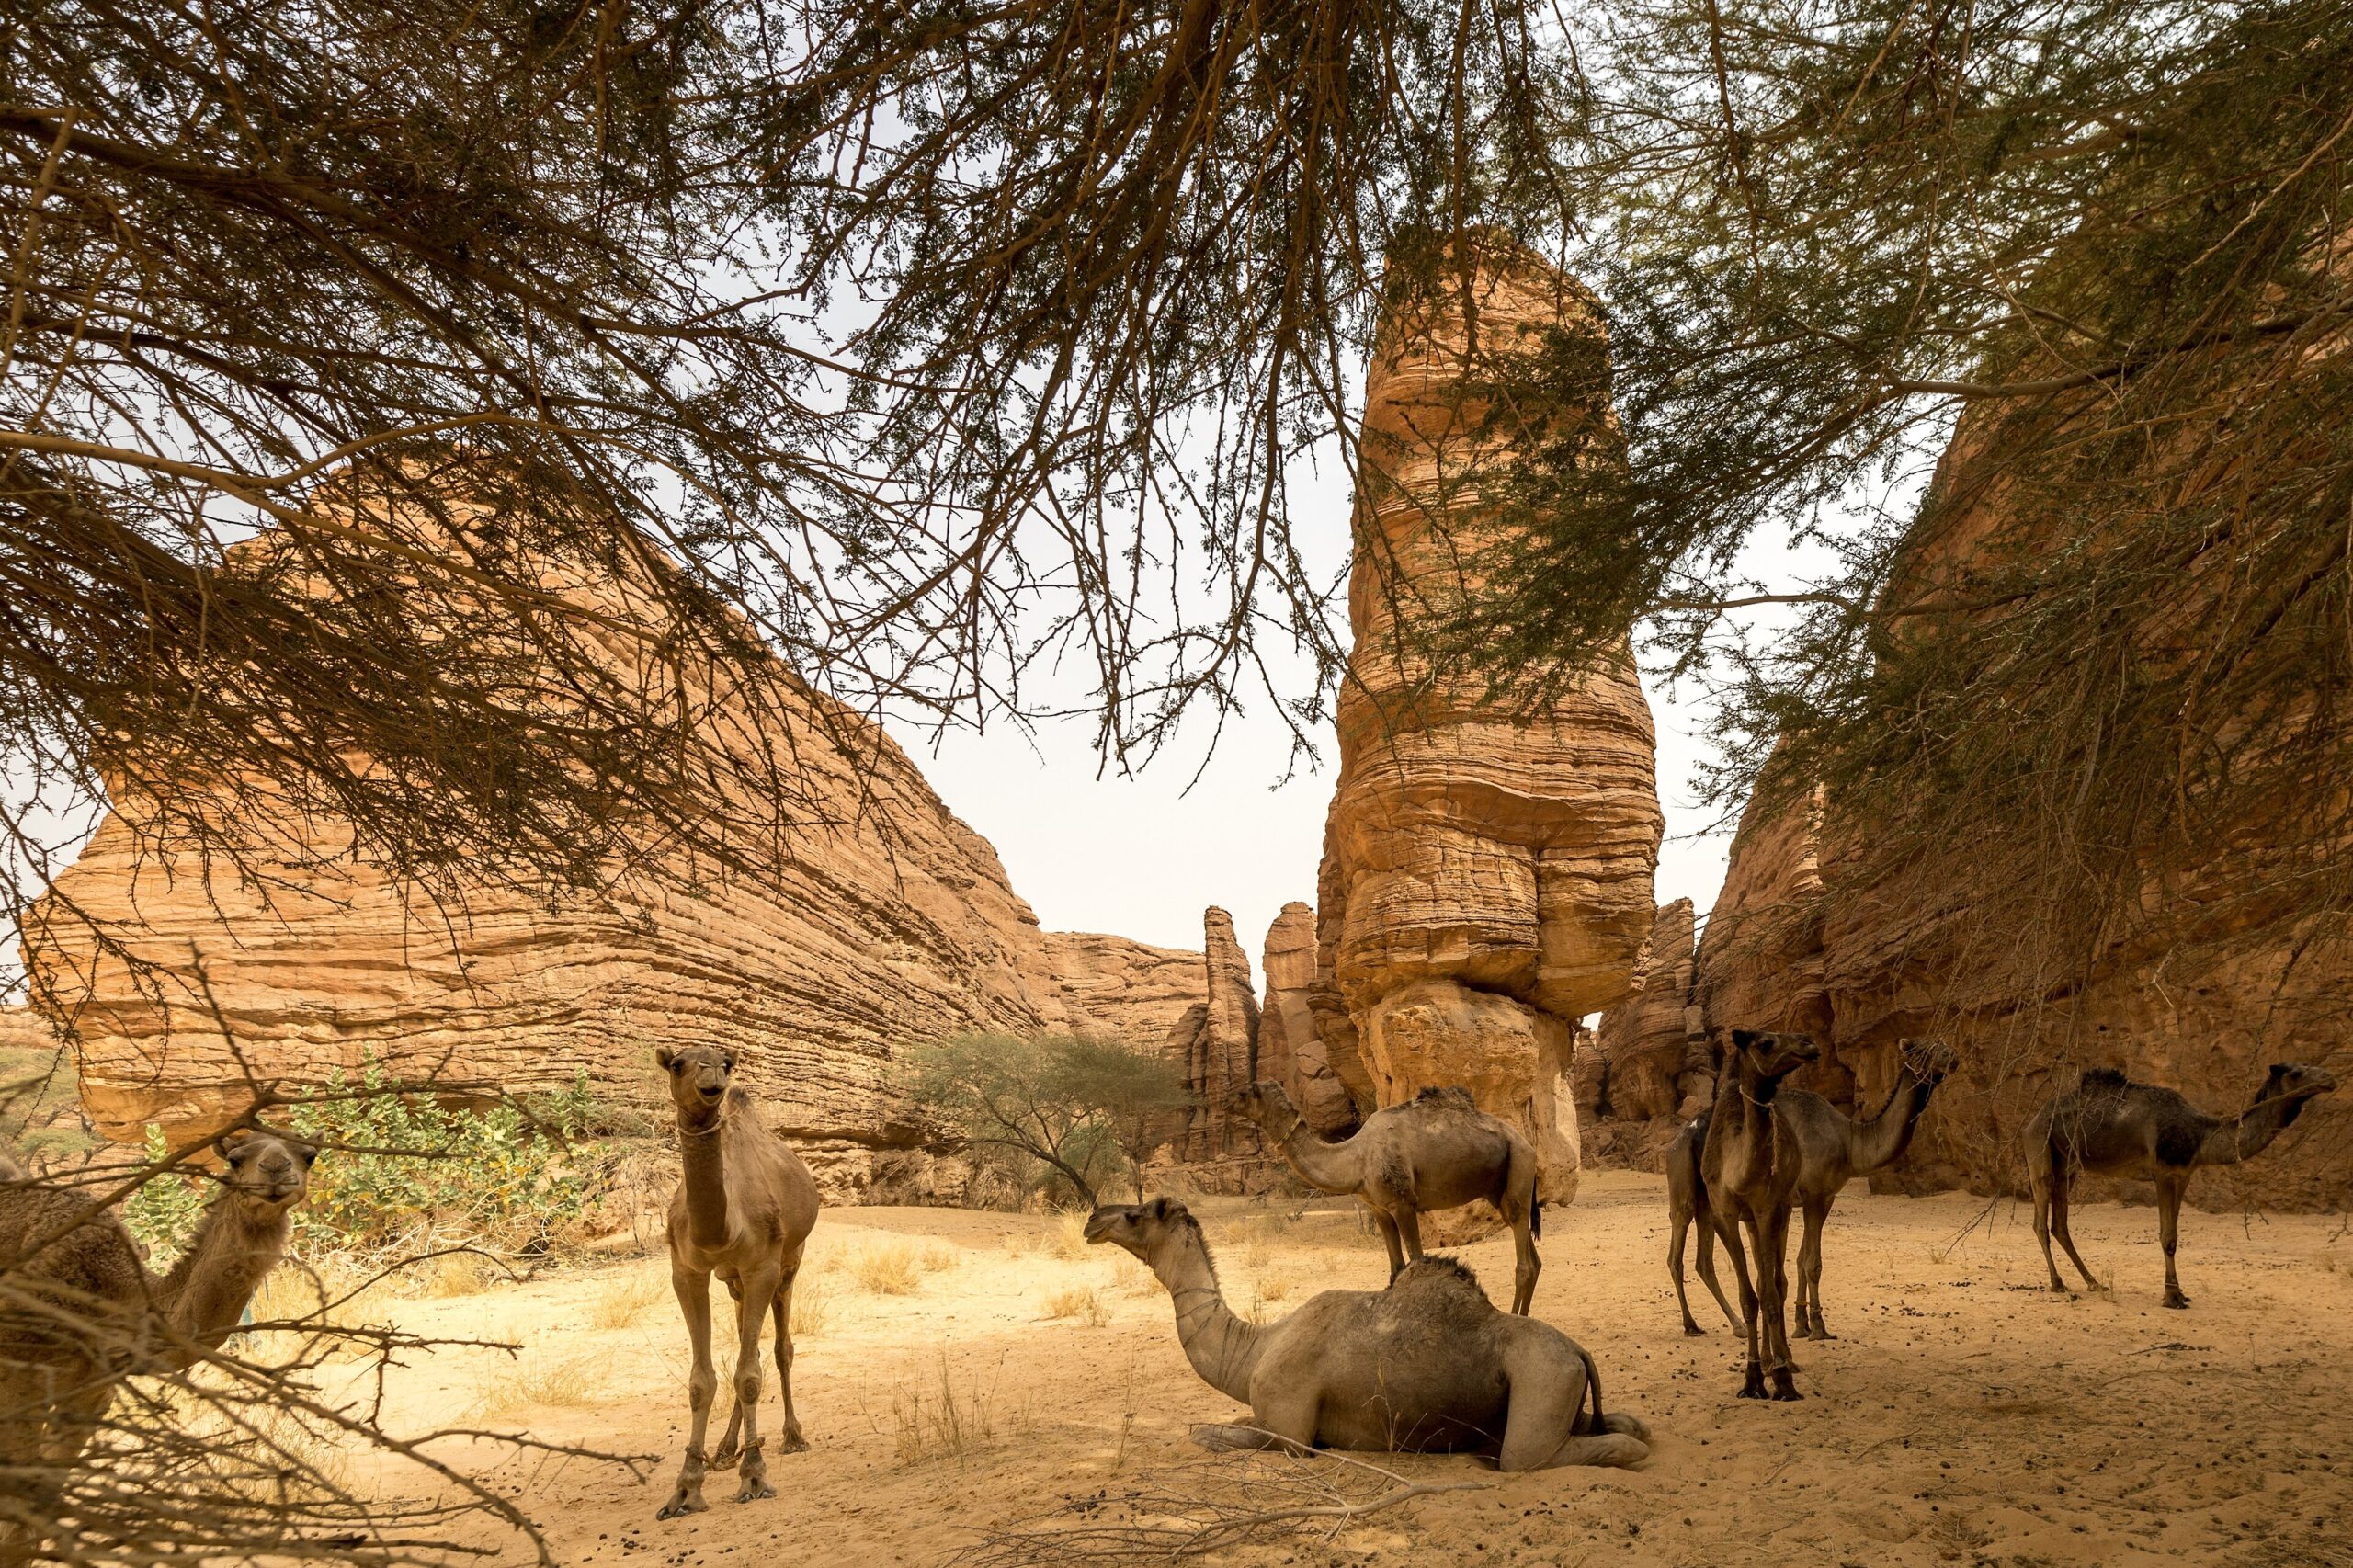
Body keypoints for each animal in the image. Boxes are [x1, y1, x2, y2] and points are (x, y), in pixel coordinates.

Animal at [653, 1045, 820, 1521]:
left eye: (725, 1063)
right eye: (677, 1064)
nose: (712, 1075)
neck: (722, 1227)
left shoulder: (762, 1264)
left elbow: (749, 1374)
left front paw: (756, 1476)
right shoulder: (686, 1271)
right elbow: (701, 1380)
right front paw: (686, 1488)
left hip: (789, 1262)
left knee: (781, 1349)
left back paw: (792, 1436)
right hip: (733, 1283)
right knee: (753, 1342)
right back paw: (726, 1448)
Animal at [1084, 1196, 1647, 1469]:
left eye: (1134, 1215)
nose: (1092, 1220)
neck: (1255, 1349)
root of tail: (1578, 1351)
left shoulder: (1290, 1431)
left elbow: (1207, 1434)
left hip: (1542, 1378)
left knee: (1536, 1456)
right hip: (1561, 1385)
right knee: (1623, 1423)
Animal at [1231, 1081, 1545, 1314]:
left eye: (1249, 1090)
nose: (1228, 1101)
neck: (1355, 1160)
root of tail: (1529, 1145)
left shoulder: (1403, 1203)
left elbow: (1417, 1263)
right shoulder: (1379, 1209)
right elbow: (1396, 1270)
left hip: (1520, 1165)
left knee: (1524, 1261)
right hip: (1500, 1188)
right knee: (1532, 1256)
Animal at [1697, 1029, 1820, 1401]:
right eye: (1765, 1043)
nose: (1810, 1044)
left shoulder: (1769, 1209)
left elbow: (1768, 1294)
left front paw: (1782, 1379)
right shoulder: (1724, 1215)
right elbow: (1749, 1297)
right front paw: (1753, 1377)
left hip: (1782, 1210)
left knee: (1776, 1283)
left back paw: (1784, 1360)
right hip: (1750, 1222)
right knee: (1763, 1282)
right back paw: (1766, 1361)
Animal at [2025, 1061, 2336, 1309]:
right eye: (2296, 1073)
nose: (2329, 1079)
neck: (2200, 1135)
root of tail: (2031, 1121)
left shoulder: (2184, 1174)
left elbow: (2175, 1235)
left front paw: (2179, 1293)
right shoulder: (2163, 1172)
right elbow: (2167, 1237)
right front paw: (2172, 1297)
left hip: (2068, 1167)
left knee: (2060, 1225)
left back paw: (2093, 1282)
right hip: (2040, 1153)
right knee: (2041, 1221)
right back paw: (2057, 1283)